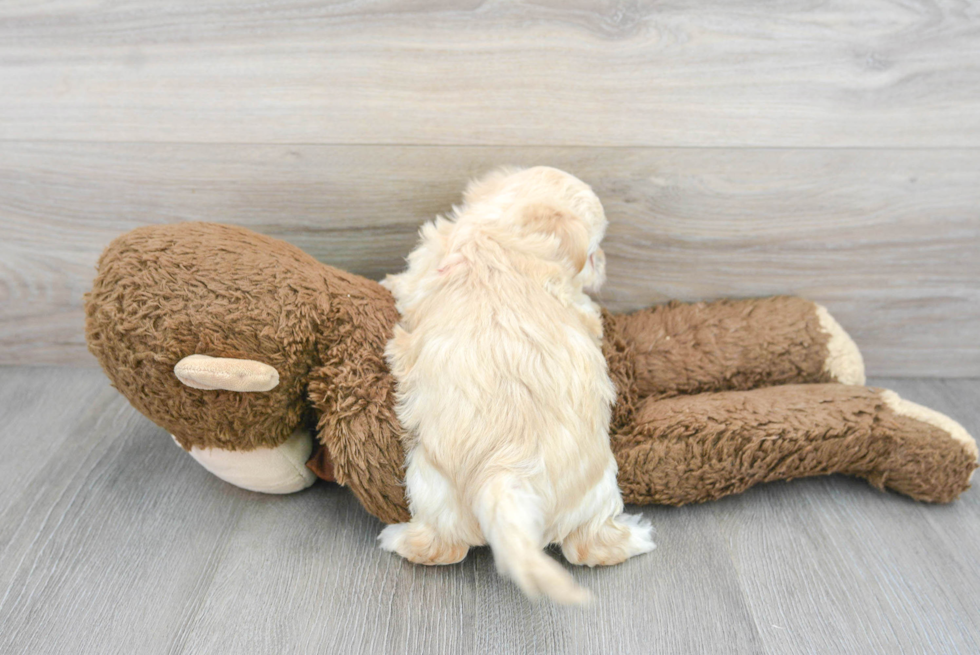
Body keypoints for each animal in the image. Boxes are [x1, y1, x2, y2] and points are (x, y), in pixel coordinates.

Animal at [378, 165, 656, 604]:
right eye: (595, 252)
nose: (604, 263)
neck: (506, 230)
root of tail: (508, 474)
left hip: (428, 486)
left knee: (442, 550)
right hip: (597, 490)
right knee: (588, 546)